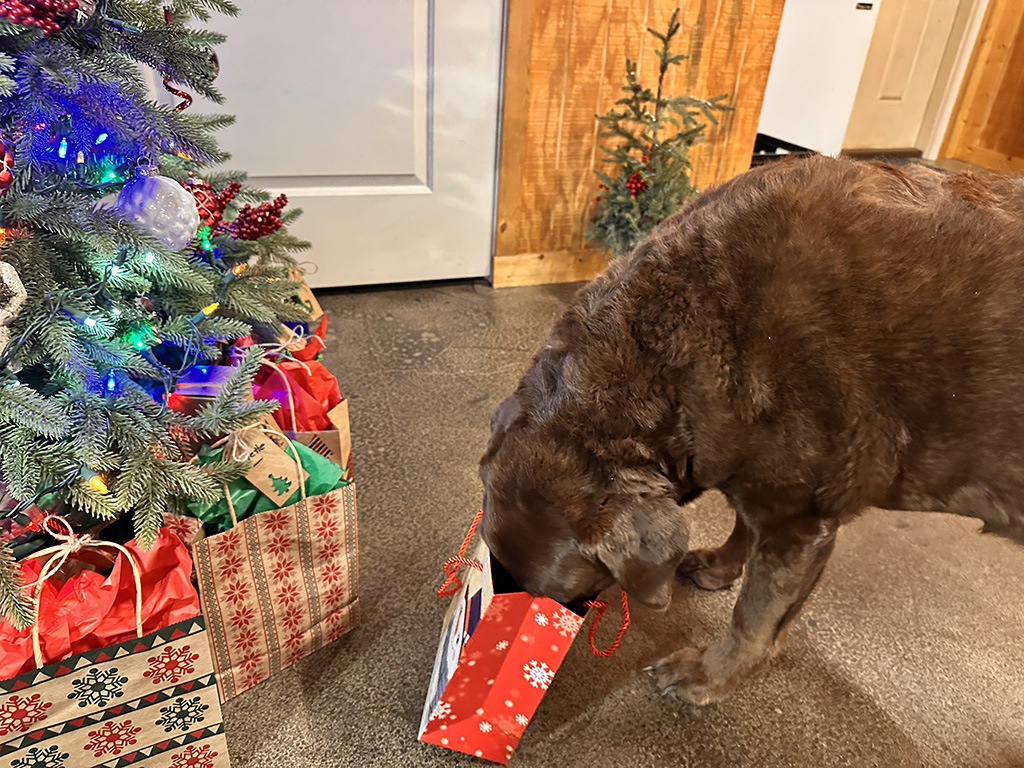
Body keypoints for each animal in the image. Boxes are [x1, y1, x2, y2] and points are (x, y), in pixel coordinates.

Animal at [478, 156, 1024, 704]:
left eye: (568, 597)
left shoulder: (799, 522)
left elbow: (754, 618)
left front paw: (707, 676)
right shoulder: (750, 467)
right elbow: (743, 523)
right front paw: (720, 569)